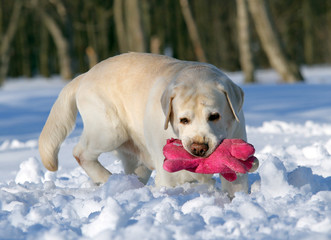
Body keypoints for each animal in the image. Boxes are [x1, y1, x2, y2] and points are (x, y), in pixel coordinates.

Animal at [39, 53, 248, 198]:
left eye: (214, 116)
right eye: (183, 120)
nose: (198, 147)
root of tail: (84, 75)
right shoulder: (169, 176)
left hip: (136, 160)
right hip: (109, 130)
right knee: (79, 152)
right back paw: (106, 177)